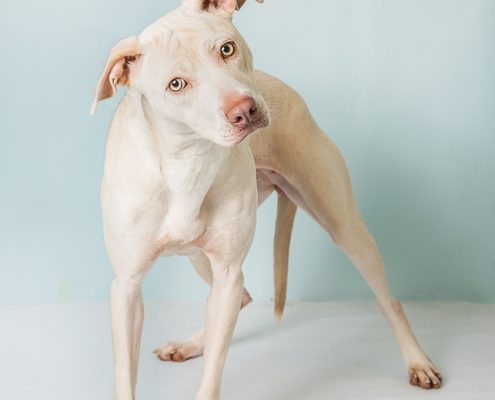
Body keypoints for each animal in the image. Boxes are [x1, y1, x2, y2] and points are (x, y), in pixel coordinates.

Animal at [91, 0, 444, 400]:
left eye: (226, 49)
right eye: (176, 85)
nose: (244, 111)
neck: (187, 160)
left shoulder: (228, 270)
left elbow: (212, 374)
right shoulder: (127, 287)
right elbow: (126, 372)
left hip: (344, 225)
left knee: (389, 301)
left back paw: (417, 361)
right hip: (201, 258)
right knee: (241, 297)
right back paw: (192, 344)